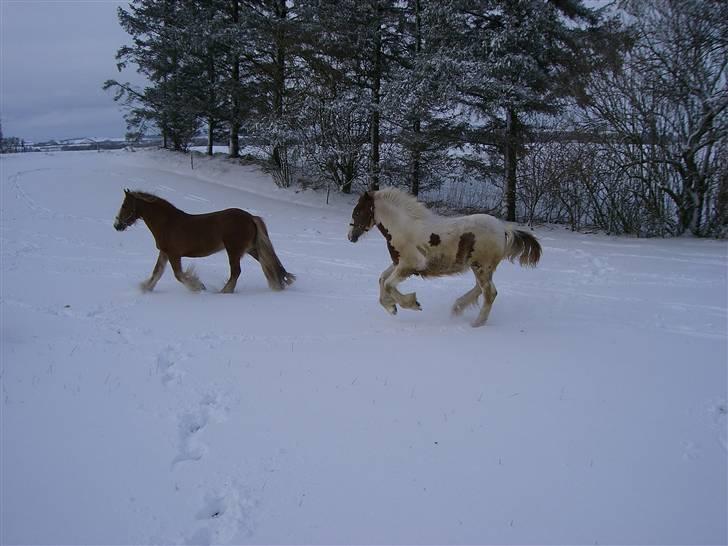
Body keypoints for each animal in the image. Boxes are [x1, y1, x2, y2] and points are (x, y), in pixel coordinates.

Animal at [114, 191, 296, 294]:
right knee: (271, 264)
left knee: (236, 272)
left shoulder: (174, 254)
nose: (117, 225)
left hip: (234, 251)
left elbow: (179, 275)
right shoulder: (164, 252)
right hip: (251, 249)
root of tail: (250, 217)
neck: (167, 223)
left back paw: (224, 291)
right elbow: (156, 273)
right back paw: (279, 284)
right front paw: (146, 288)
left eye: (124, 205)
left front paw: (198, 287)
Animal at [350, 187, 544, 326]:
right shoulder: (398, 263)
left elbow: (389, 284)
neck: (404, 228)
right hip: (480, 267)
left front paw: (412, 303)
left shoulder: (409, 265)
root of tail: (503, 229)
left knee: (489, 293)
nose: (350, 236)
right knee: (481, 289)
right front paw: (392, 307)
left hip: (482, 267)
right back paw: (457, 309)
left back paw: (476, 324)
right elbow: (382, 279)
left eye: (358, 211)